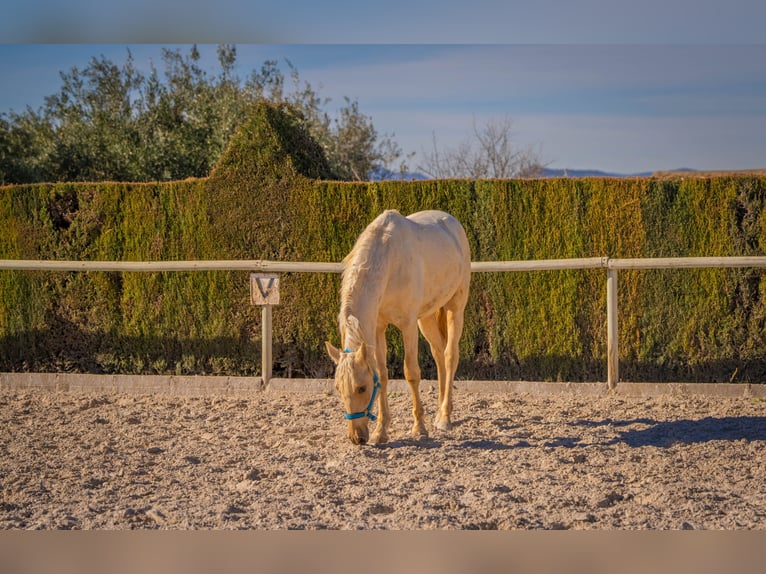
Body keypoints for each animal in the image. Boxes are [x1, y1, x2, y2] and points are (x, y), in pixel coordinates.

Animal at [326, 209, 472, 448]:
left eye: (362, 388)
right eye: (338, 388)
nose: (357, 438)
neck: (389, 263)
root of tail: (451, 222)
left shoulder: (408, 325)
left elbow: (411, 372)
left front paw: (419, 428)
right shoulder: (378, 327)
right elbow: (382, 375)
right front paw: (381, 431)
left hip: (455, 307)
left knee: (450, 355)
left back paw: (444, 417)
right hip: (427, 317)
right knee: (439, 354)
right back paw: (441, 411)